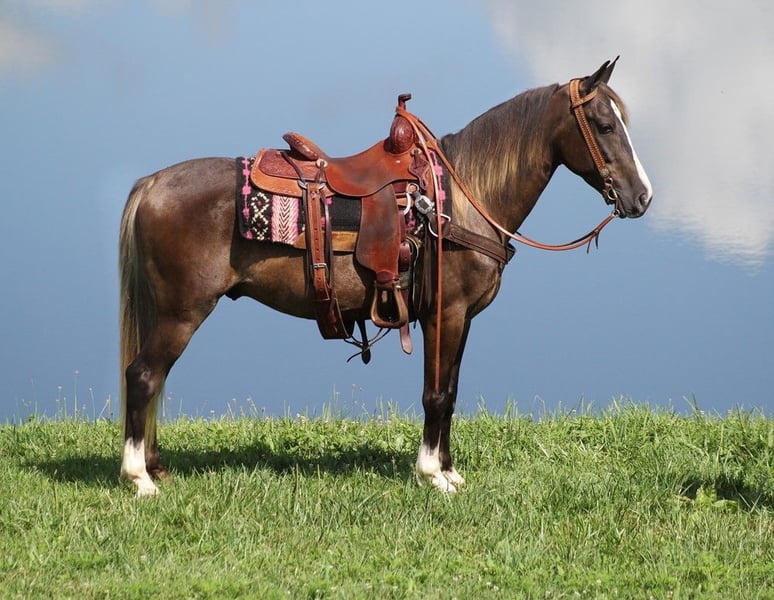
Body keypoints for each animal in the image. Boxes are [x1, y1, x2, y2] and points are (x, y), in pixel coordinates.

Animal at [119, 59, 652, 497]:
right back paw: (139, 478)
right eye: (605, 125)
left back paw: (156, 466)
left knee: (155, 380)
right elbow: (435, 394)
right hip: (181, 314)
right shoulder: (446, 314)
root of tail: (153, 183)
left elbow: (451, 393)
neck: (461, 200)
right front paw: (432, 474)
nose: (642, 197)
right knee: (143, 377)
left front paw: (450, 469)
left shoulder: (461, 319)